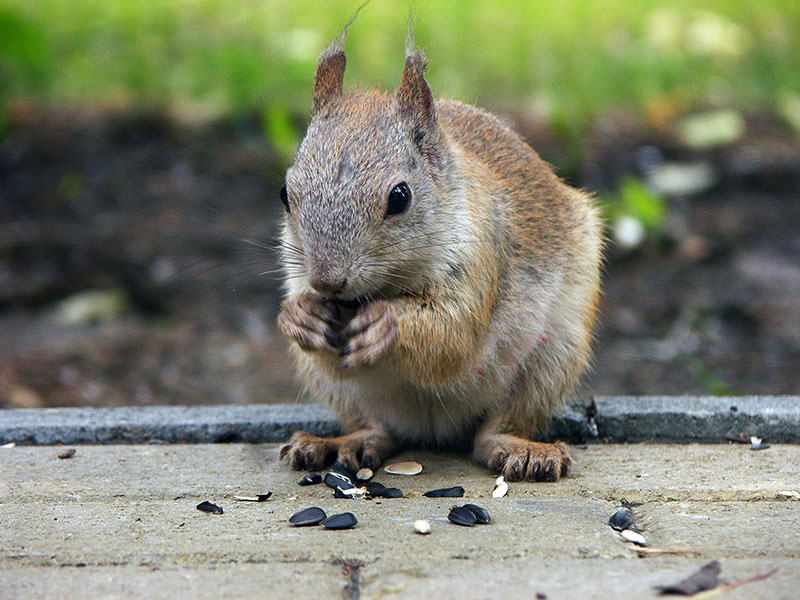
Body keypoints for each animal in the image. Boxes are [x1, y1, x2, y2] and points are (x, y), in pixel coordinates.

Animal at [277, 16, 603, 482]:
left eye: (400, 196)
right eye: (285, 193)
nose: (327, 281)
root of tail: (433, 430)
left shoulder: (482, 250)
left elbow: (453, 333)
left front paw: (387, 325)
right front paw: (301, 317)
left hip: (553, 356)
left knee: (497, 428)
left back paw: (521, 451)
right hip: (340, 392)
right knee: (375, 427)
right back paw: (341, 442)